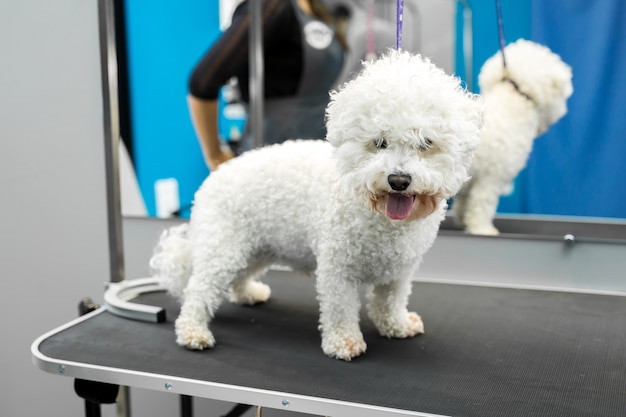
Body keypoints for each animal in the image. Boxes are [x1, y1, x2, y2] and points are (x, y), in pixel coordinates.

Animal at [151, 49, 482, 360]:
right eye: (379, 142)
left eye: (426, 143)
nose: (398, 180)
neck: (378, 217)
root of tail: (213, 179)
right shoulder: (337, 269)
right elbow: (340, 309)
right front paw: (344, 343)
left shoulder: (399, 270)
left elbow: (390, 301)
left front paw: (397, 325)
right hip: (224, 249)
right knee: (198, 291)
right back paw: (193, 332)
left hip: (255, 247)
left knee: (239, 276)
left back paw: (247, 293)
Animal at [450, 39, 572, 234]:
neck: (515, 102)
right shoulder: (491, 179)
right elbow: (482, 205)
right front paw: (483, 229)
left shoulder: (469, 181)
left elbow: (464, 203)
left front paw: (463, 221)